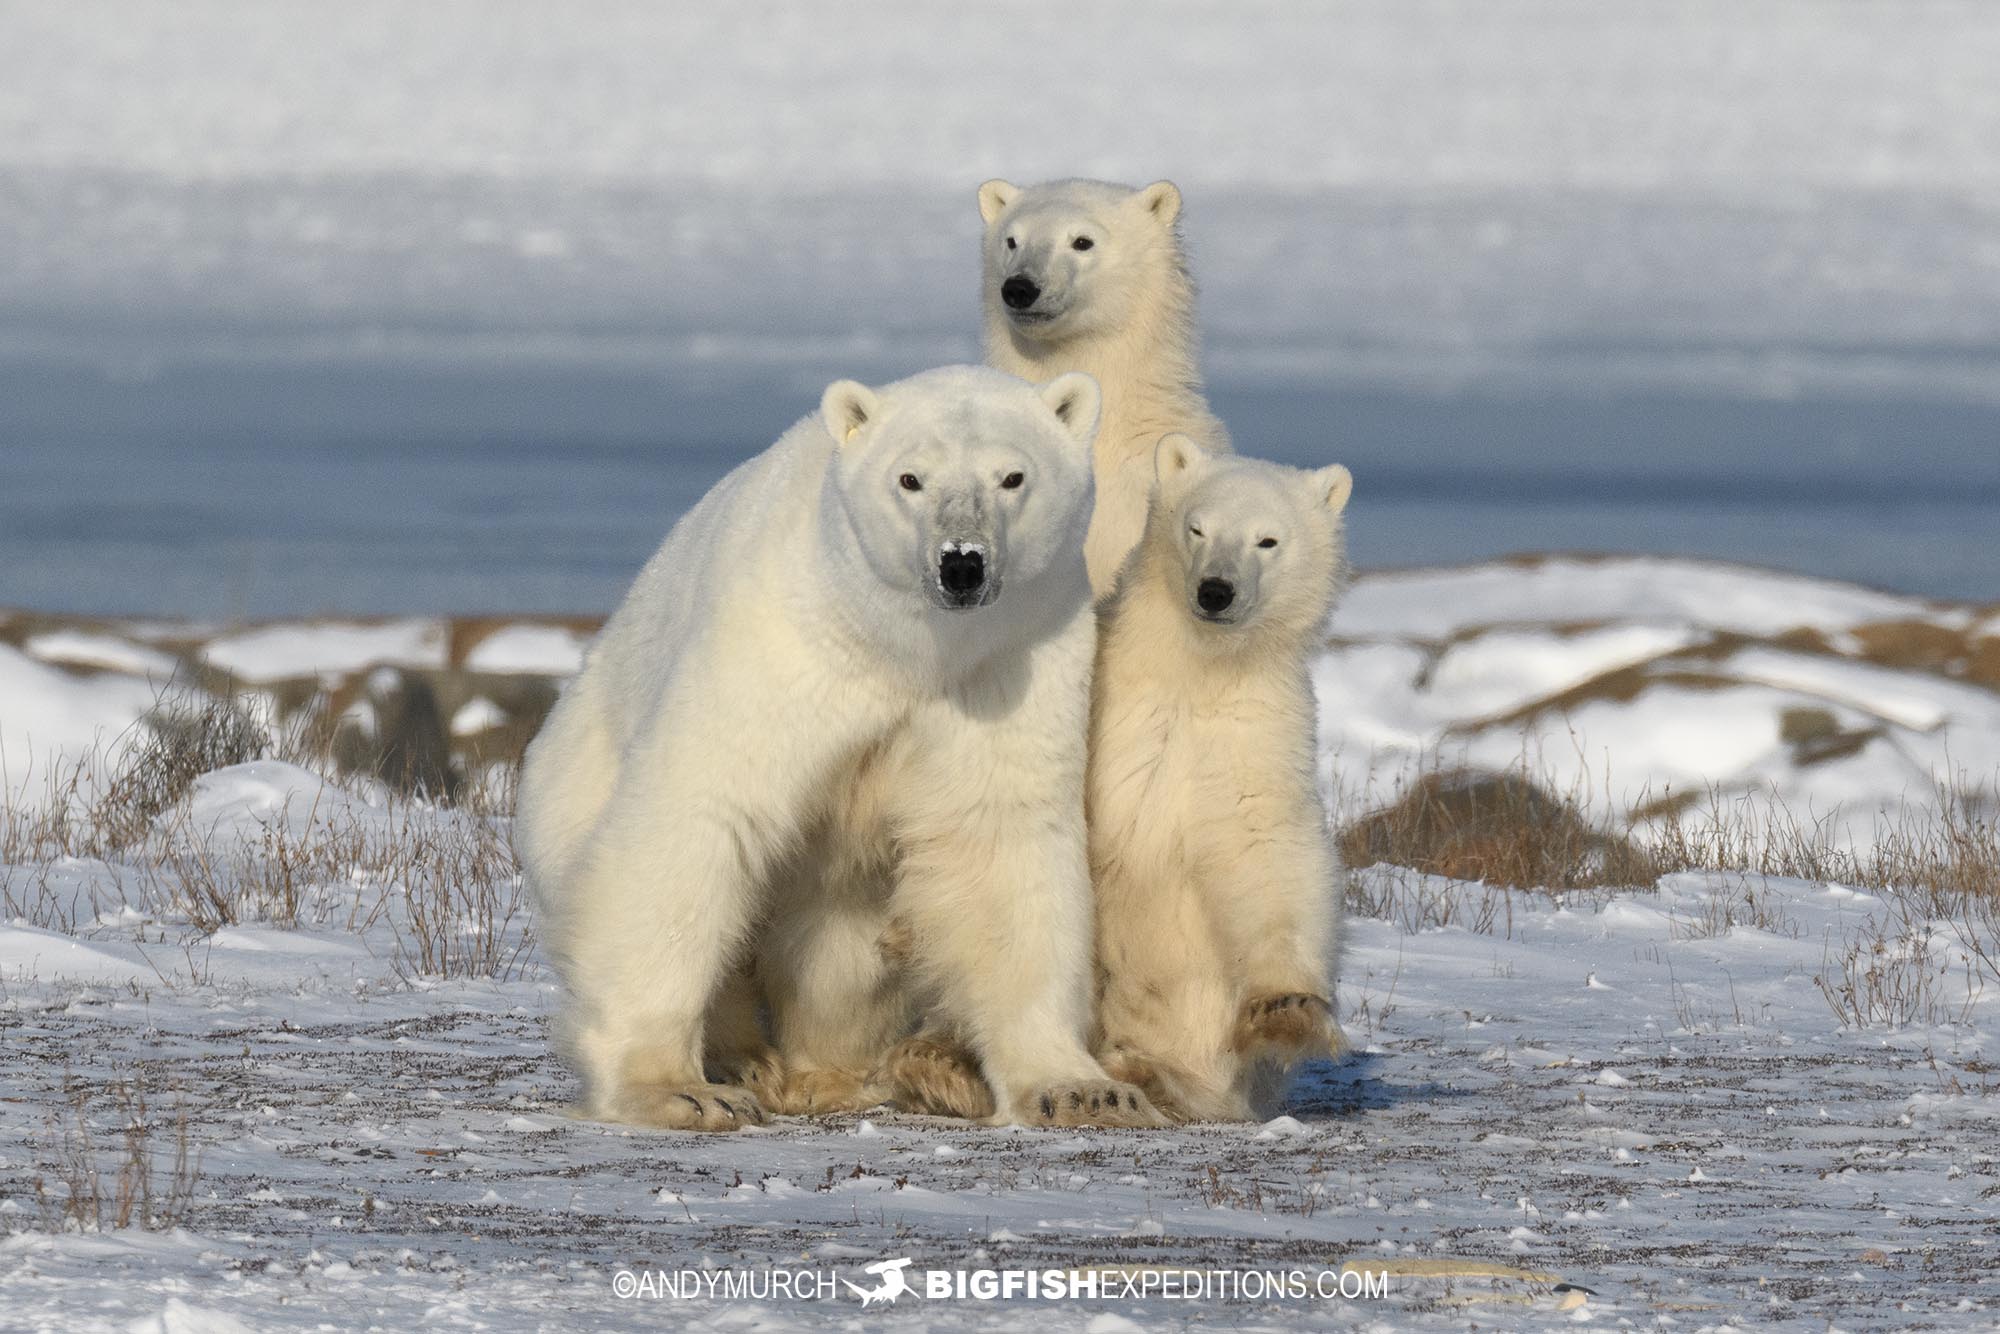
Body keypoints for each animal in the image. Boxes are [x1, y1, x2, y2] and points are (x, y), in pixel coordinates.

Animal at [520, 362, 1160, 1128]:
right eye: (910, 478)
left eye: (1013, 476)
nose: (962, 565)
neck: (902, 648)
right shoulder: (784, 645)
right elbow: (703, 814)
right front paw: (680, 1090)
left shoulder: (1007, 664)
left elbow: (996, 846)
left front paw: (1083, 1089)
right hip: (570, 779)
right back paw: (749, 1062)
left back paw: (887, 1069)